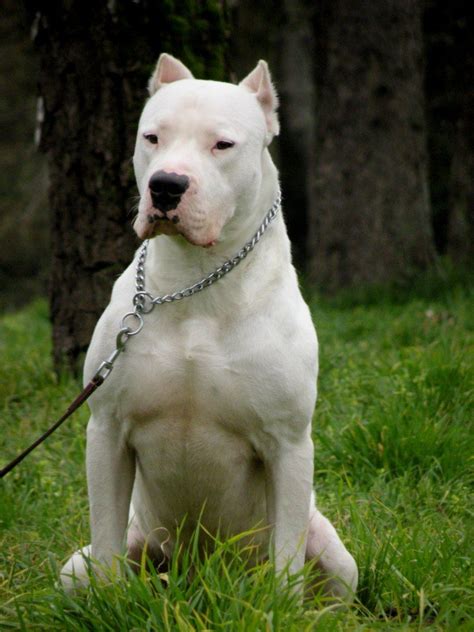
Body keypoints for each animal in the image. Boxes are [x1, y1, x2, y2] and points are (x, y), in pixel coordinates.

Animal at [61, 53, 358, 596]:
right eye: (152, 137)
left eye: (222, 144)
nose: (166, 185)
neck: (196, 284)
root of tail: (199, 575)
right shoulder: (107, 431)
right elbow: (107, 537)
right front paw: (109, 601)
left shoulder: (288, 443)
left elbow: (287, 557)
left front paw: (281, 604)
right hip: (84, 563)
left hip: (335, 556)